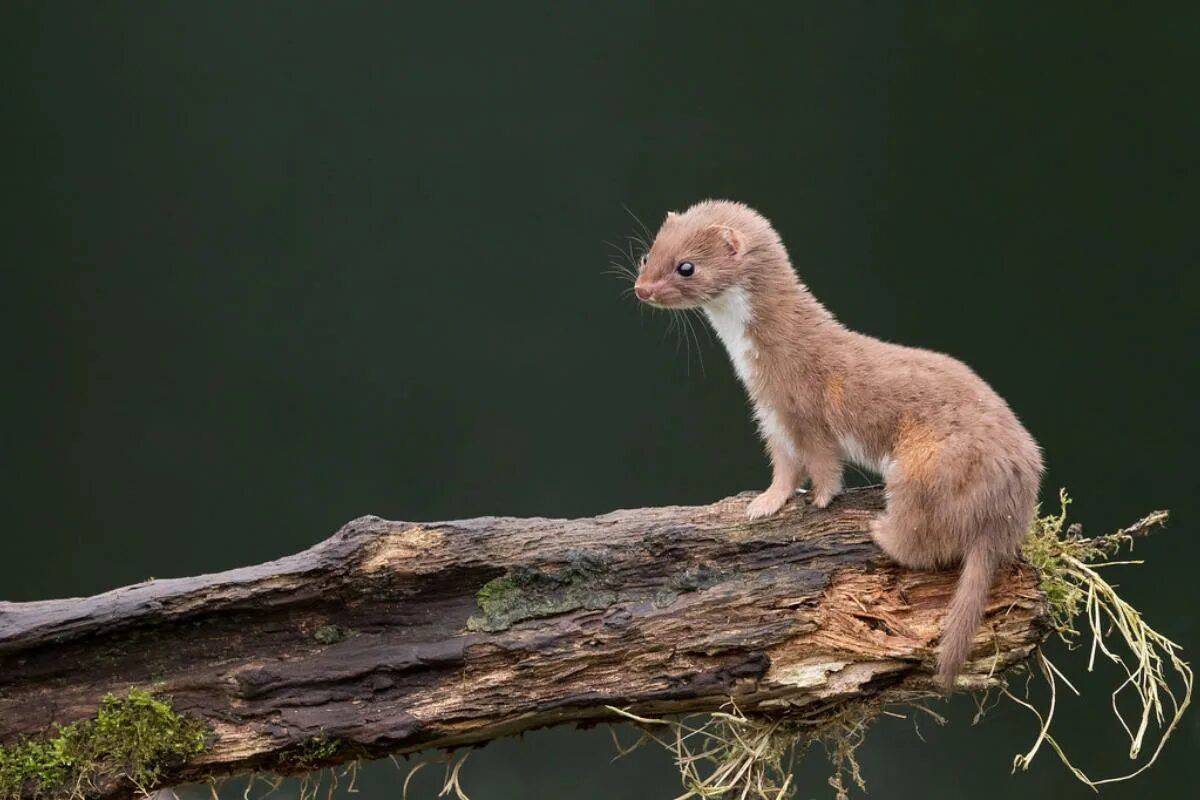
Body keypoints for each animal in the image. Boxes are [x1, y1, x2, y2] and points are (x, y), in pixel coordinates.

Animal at [638, 200, 1041, 690]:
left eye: (686, 267)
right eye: (648, 253)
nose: (641, 289)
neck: (756, 364)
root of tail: (1008, 504)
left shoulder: (804, 409)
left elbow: (823, 462)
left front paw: (822, 499)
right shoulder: (769, 413)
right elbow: (784, 468)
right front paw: (764, 505)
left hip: (924, 467)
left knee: (924, 544)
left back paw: (880, 531)